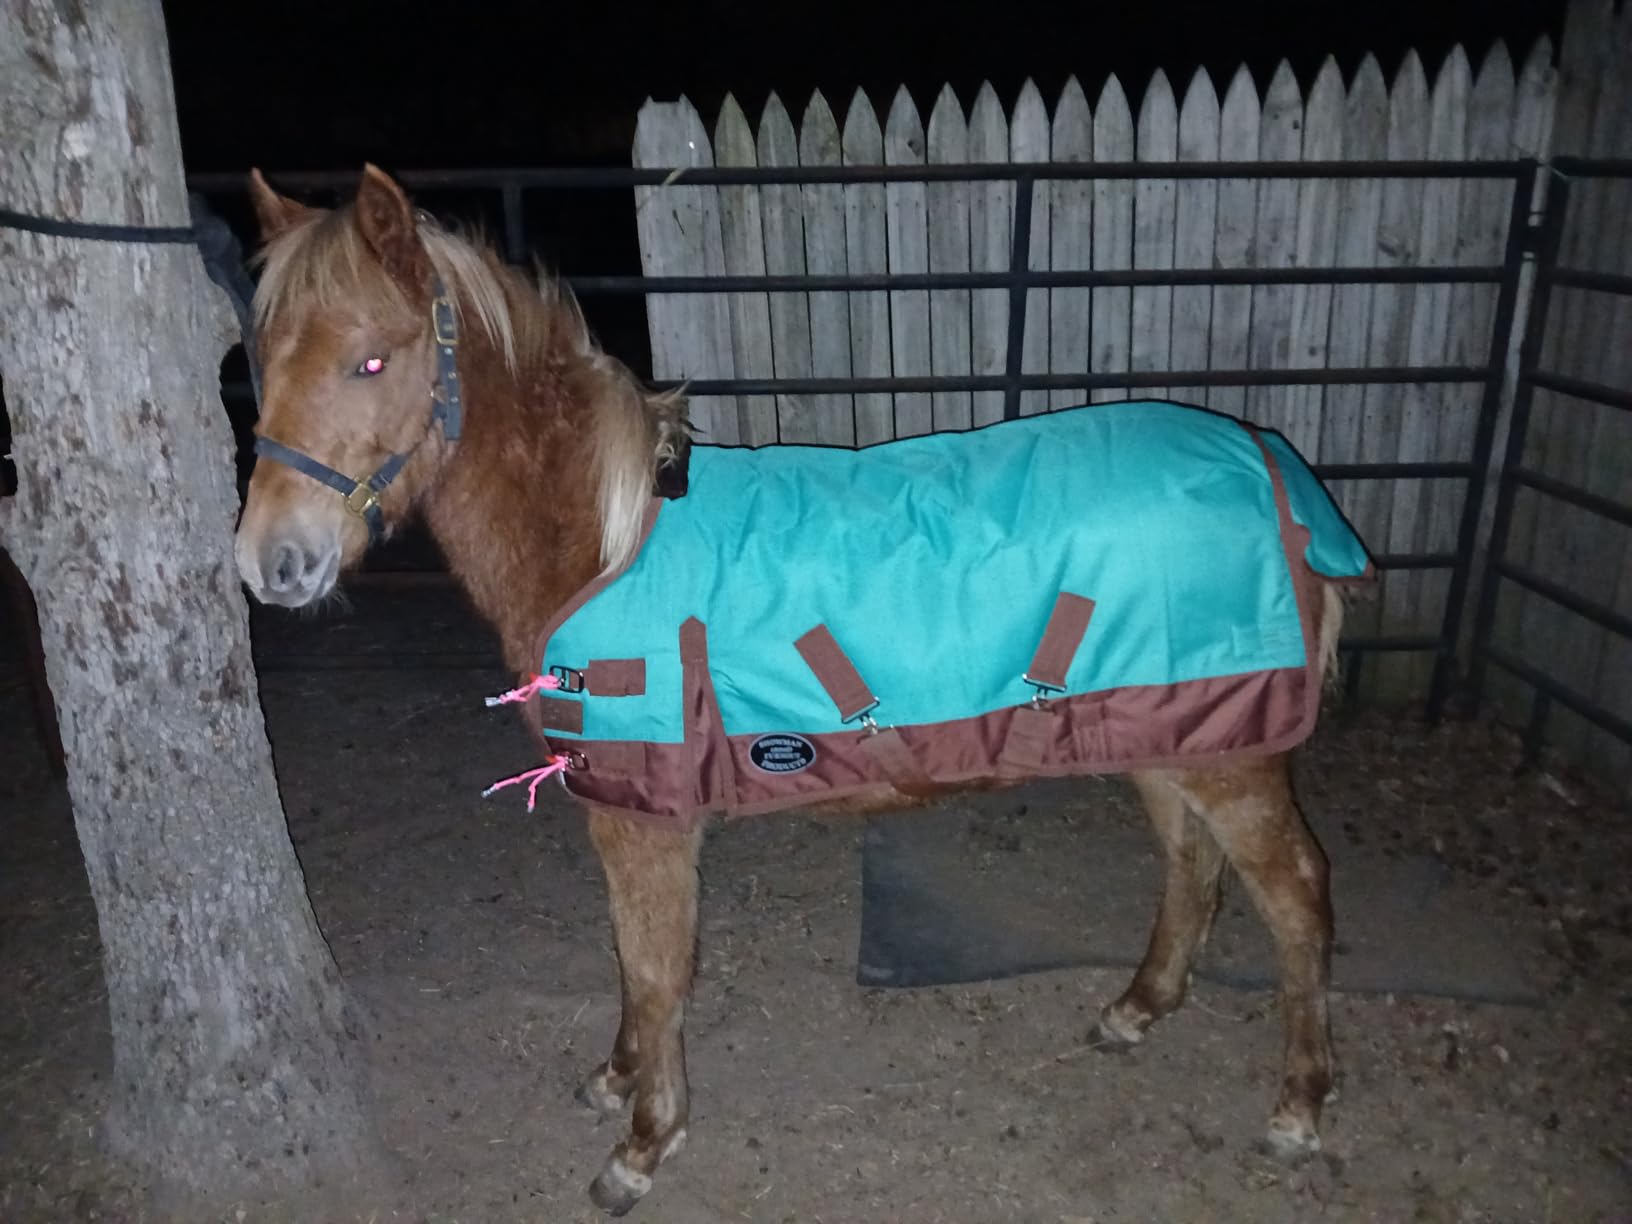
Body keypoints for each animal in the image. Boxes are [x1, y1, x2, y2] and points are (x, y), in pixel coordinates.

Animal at [236, 164, 1347, 1216]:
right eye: (261, 361)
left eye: (371, 359)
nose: (270, 563)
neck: (606, 541)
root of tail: (1273, 468)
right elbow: (629, 957)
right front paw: (617, 1078)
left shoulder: (649, 821)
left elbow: (657, 964)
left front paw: (643, 1145)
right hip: (1172, 733)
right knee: (1190, 867)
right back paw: (1138, 1008)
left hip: (1237, 756)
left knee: (1294, 896)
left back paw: (1299, 1106)